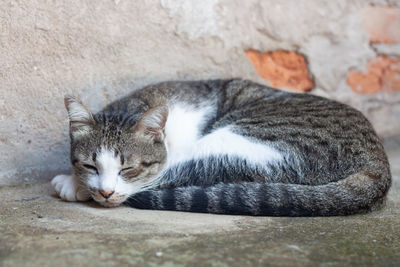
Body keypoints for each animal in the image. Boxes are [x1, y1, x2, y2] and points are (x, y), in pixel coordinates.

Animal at [51, 78, 392, 217]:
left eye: (128, 168)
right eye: (90, 165)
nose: (105, 191)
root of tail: (379, 164)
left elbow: (152, 176)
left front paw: (73, 184)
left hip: (239, 142)